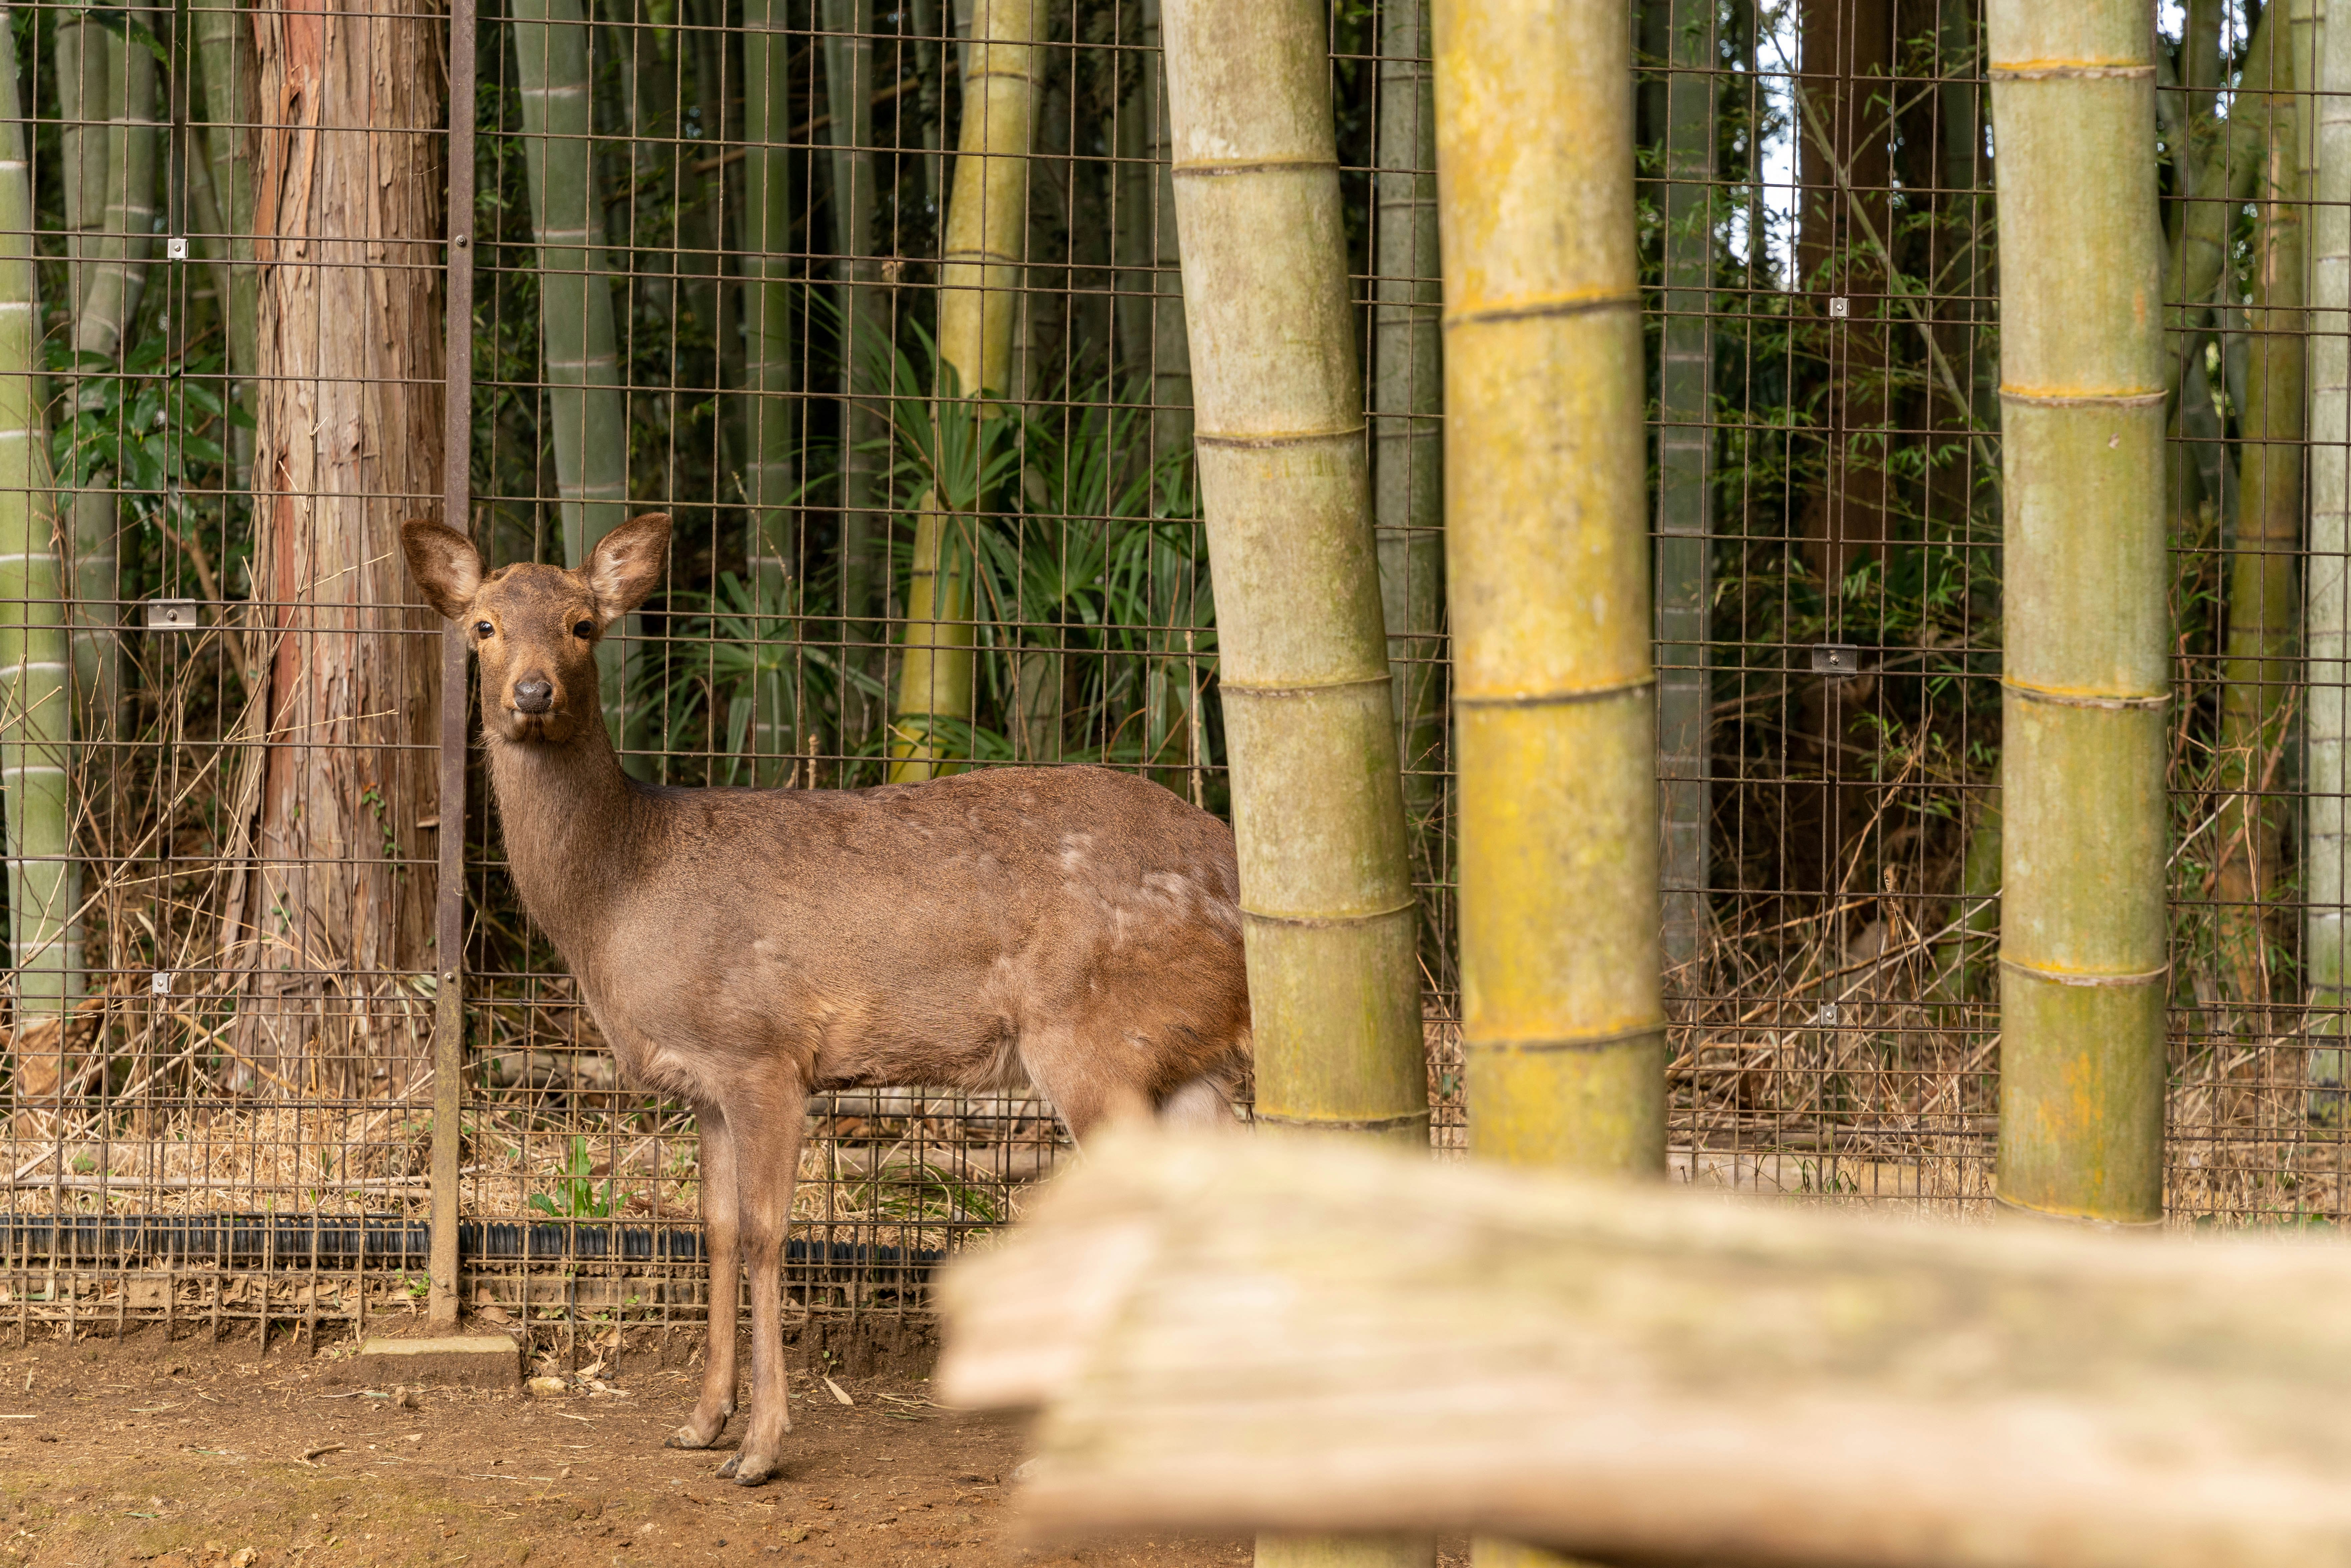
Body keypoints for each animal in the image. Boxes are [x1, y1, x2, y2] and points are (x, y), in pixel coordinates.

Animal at [401, 512, 1251, 1486]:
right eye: (484, 626)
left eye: (584, 625)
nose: (534, 692)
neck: (620, 896)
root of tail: (1237, 873)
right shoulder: (705, 1082)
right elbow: (714, 1230)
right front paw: (701, 1422)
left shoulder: (763, 1050)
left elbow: (768, 1235)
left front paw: (761, 1448)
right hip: (1182, 1051)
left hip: (1091, 1030)